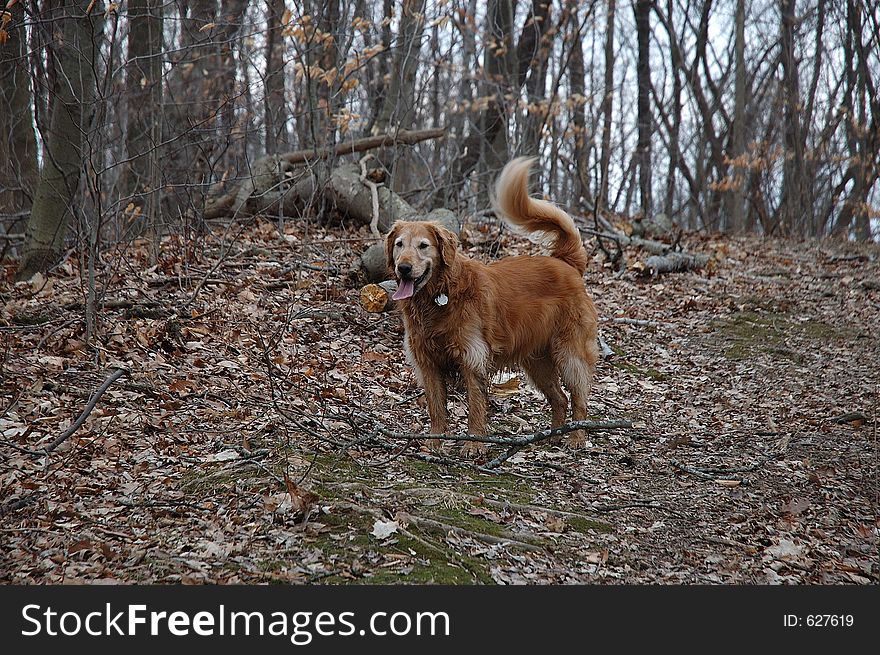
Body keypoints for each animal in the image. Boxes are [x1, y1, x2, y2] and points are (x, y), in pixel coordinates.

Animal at [384, 159, 600, 456]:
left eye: (423, 246)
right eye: (399, 245)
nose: (403, 268)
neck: (440, 295)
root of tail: (565, 262)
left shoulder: (472, 358)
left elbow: (475, 406)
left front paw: (474, 443)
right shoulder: (427, 362)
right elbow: (436, 408)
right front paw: (435, 442)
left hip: (569, 353)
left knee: (578, 397)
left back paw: (576, 437)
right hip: (538, 362)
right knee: (559, 398)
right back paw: (552, 436)